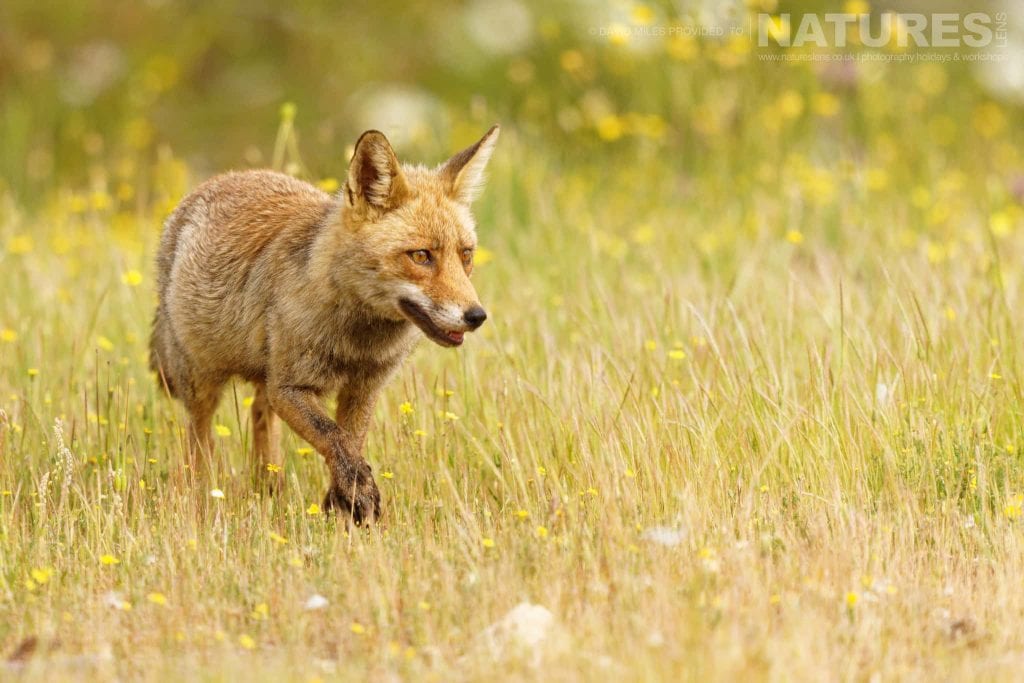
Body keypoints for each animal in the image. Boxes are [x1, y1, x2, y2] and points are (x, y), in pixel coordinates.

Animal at [149, 125, 499, 525]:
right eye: (422, 256)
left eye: (466, 255)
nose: (476, 316)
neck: (357, 341)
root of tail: (222, 178)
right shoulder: (291, 387)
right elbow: (334, 438)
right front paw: (358, 495)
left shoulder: (363, 387)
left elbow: (349, 441)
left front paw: (343, 504)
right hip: (203, 381)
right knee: (199, 441)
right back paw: (197, 499)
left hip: (265, 376)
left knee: (259, 417)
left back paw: (269, 488)